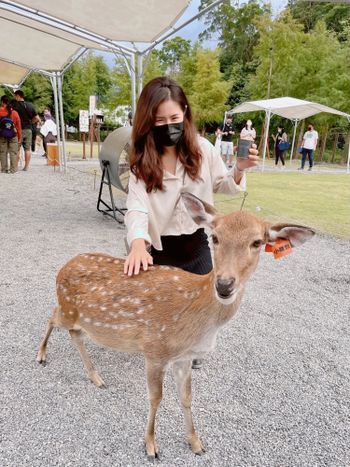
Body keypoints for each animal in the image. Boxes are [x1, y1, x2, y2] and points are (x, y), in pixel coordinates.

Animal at [37, 193, 314, 460]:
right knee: (53, 316)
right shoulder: (155, 349)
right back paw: (41, 355)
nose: (224, 284)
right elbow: (156, 398)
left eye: (257, 242)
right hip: (68, 308)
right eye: (214, 237)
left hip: (79, 317)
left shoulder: (184, 357)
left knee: (74, 333)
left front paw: (196, 443)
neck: (197, 323)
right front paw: (151, 445)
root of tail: (64, 266)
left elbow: (186, 397)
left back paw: (96, 377)